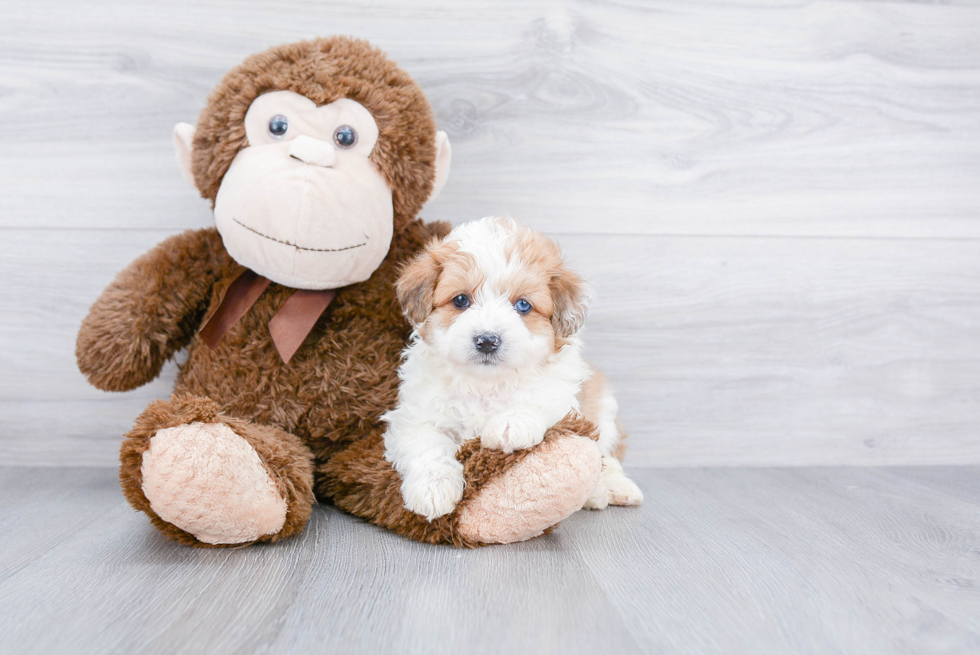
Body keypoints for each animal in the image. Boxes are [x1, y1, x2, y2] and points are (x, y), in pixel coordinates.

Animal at [382, 218, 644, 520]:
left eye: (522, 305)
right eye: (460, 300)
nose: (487, 340)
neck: (485, 384)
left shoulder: (563, 398)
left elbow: (540, 400)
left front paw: (511, 423)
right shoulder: (416, 417)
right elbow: (426, 444)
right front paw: (433, 489)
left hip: (604, 408)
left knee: (607, 456)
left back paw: (613, 488)